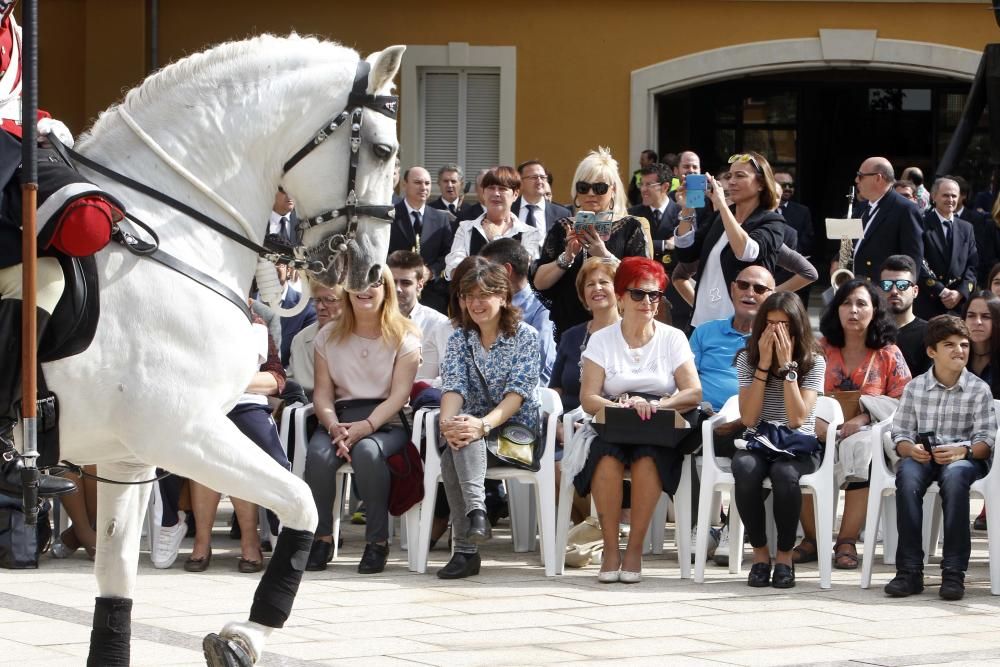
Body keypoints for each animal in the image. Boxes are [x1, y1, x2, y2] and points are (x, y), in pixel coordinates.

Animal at [32, 34, 402, 664]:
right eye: (382, 150)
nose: (372, 268)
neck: (168, 231)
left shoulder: (130, 455)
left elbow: (115, 583)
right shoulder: (181, 431)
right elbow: (301, 500)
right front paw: (247, 634)